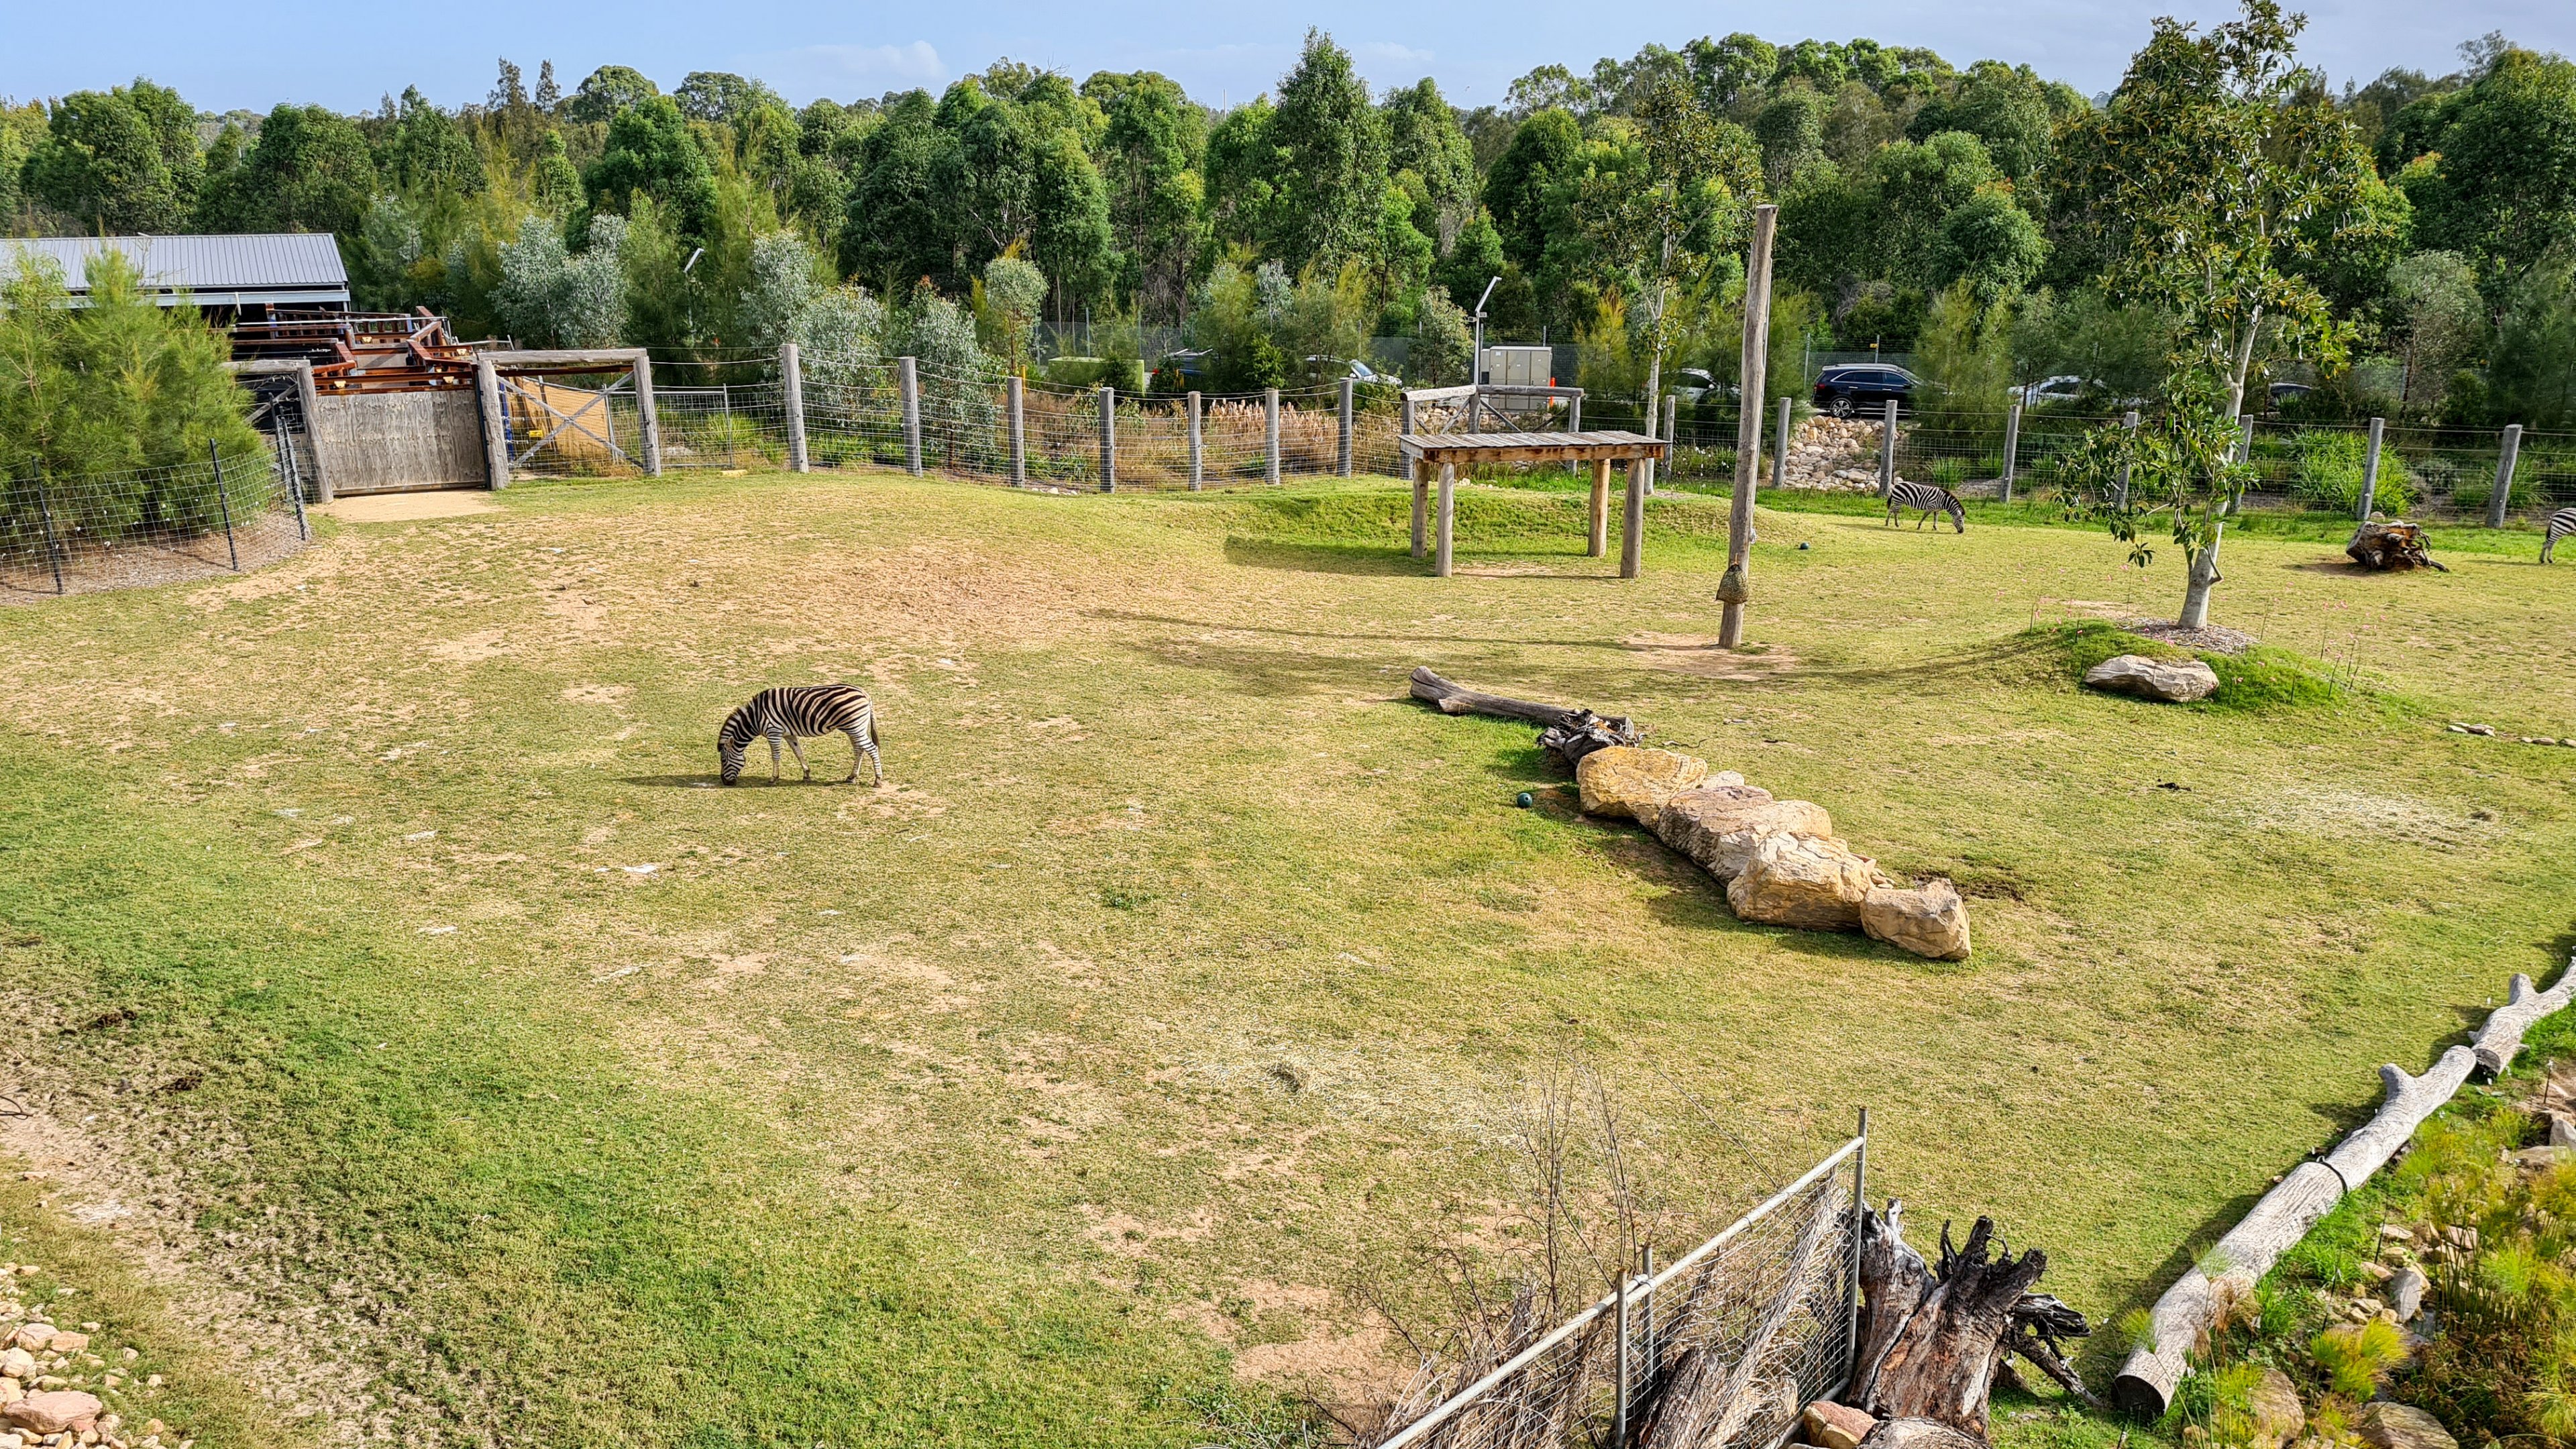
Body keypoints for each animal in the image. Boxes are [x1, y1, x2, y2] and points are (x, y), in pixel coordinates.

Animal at [717, 684, 883, 786]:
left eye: (723, 760)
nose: (725, 782)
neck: (756, 717)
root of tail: (865, 694)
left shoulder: (773, 732)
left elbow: (775, 756)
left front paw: (773, 778)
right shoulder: (788, 734)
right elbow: (798, 752)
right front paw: (807, 774)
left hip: (855, 727)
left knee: (872, 749)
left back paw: (878, 780)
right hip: (855, 728)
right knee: (859, 749)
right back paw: (852, 777)